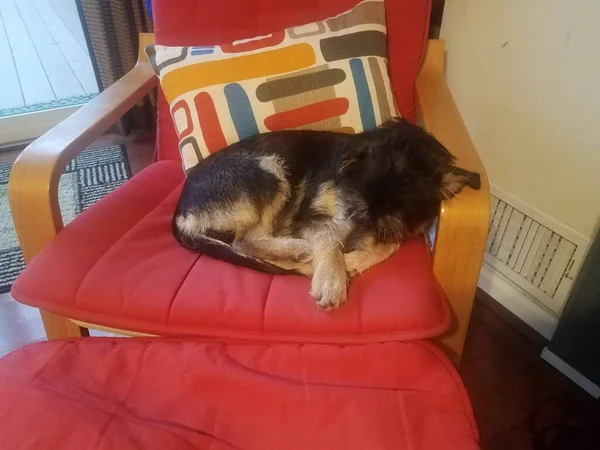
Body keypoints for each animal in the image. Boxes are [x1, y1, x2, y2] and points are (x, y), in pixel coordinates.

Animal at [172, 118, 478, 312]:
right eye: (353, 205)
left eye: (384, 227)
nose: (349, 249)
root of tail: (180, 212)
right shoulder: (309, 217)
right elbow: (330, 235)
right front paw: (332, 278)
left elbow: (389, 245)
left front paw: (352, 261)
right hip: (268, 168)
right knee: (243, 241)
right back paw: (298, 251)